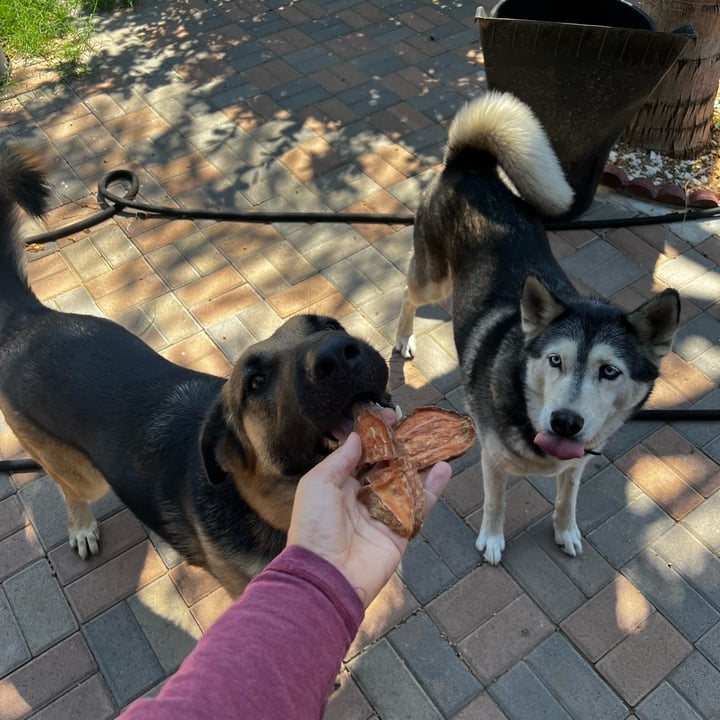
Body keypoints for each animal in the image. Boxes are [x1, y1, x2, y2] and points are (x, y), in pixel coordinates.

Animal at [0, 145, 390, 596]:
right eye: (255, 383)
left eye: (329, 326)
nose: (338, 355)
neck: (267, 505)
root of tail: (26, 319)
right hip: (83, 474)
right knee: (67, 487)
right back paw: (80, 525)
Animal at [394, 91, 680, 564]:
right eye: (555, 360)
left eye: (610, 371)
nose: (565, 422)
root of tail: (470, 165)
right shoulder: (492, 462)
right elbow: (496, 503)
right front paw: (492, 540)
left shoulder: (577, 464)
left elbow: (567, 500)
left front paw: (566, 532)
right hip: (432, 280)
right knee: (406, 294)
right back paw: (402, 339)